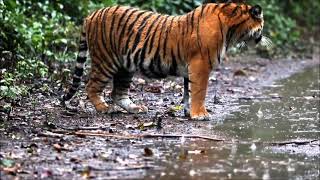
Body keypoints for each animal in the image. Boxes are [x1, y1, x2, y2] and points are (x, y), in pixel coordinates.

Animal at [62, 2, 264, 120]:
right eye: (262, 25)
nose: (262, 38)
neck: (232, 30)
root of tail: (91, 15)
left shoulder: (191, 67)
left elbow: (188, 92)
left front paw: (188, 112)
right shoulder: (201, 65)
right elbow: (199, 91)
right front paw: (200, 114)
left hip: (125, 66)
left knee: (118, 92)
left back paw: (135, 108)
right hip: (106, 60)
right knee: (91, 86)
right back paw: (104, 108)